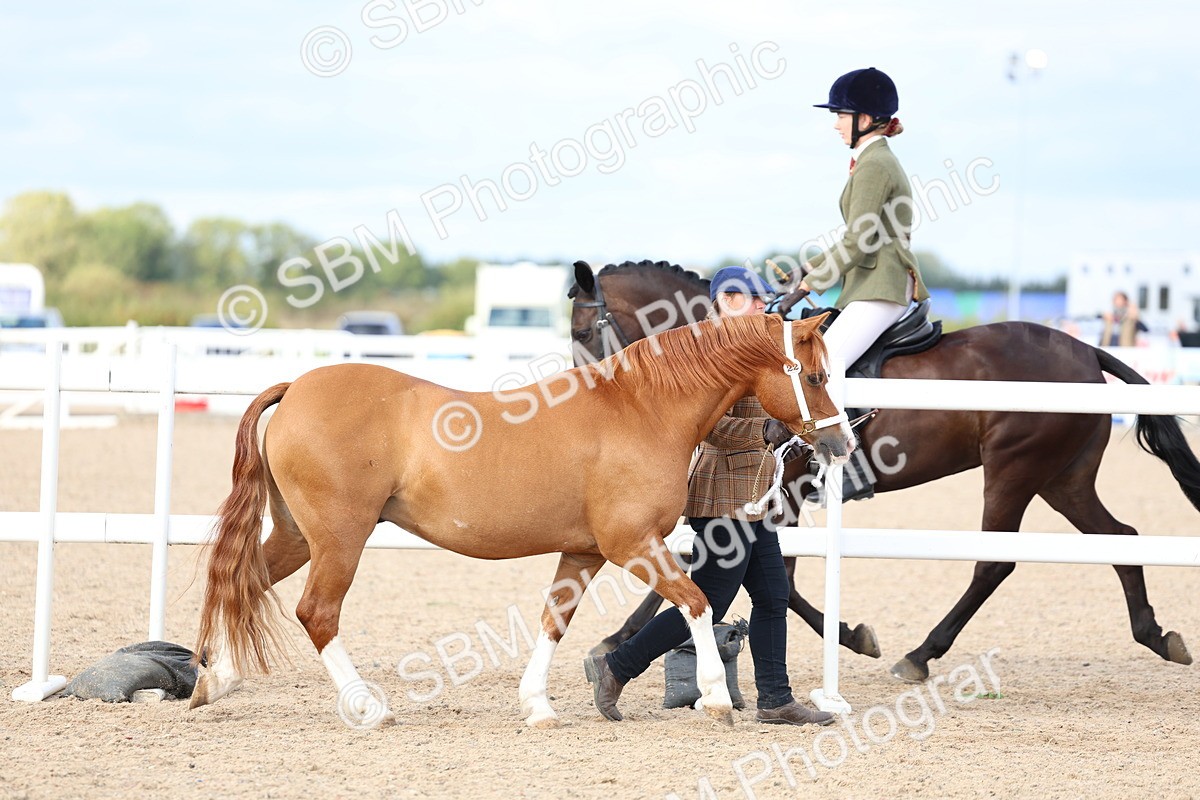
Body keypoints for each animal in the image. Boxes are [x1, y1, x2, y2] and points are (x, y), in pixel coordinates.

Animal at [189, 312, 853, 728]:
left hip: (299, 536)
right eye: (816, 375)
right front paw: (714, 696)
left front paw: (538, 706)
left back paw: (214, 681)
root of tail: (297, 386)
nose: (841, 442)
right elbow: (696, 602)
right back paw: (368, 709)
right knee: (316, 613)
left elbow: (554, 620)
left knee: (243, 581)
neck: (642, 408)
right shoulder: (632, 544)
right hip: (339, 538)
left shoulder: (585, 551)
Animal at [569, 259, 1198, 682]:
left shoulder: (783, 494)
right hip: (1060, 477)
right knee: (1121, 537)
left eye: (580, 331)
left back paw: (920, 655)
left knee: (995, 562)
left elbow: (766, 579)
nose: (582, 398)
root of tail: (1085, 351)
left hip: (1015, 469)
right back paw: (1157, 635)